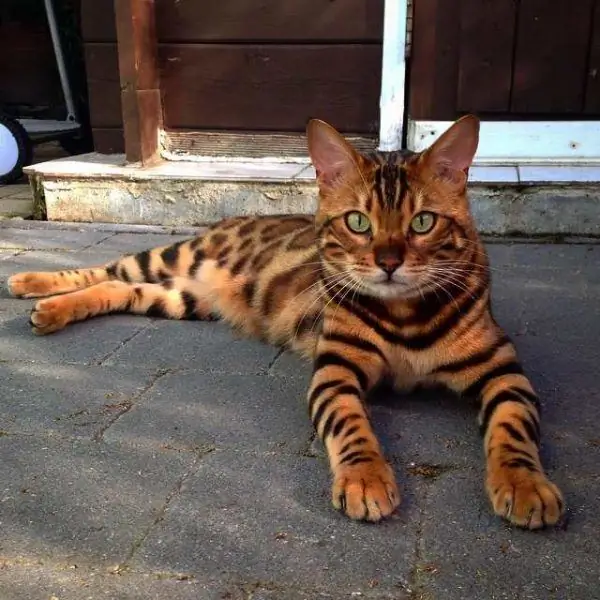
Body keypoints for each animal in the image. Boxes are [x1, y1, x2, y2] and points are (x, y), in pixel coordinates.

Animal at [8, 116, 564, 528]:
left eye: (423, 222)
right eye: (357, 222)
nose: (388, 262)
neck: (406, 316)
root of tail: (234, 217)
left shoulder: (504, 370)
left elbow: (513, 429)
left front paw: (525, 485)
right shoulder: (336, 369)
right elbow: (351, 424)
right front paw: (365, 479)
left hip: (182, 297)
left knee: (119, 290)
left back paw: (51, 308)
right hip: (173, 257)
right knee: (106, 269)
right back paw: (31, 283)